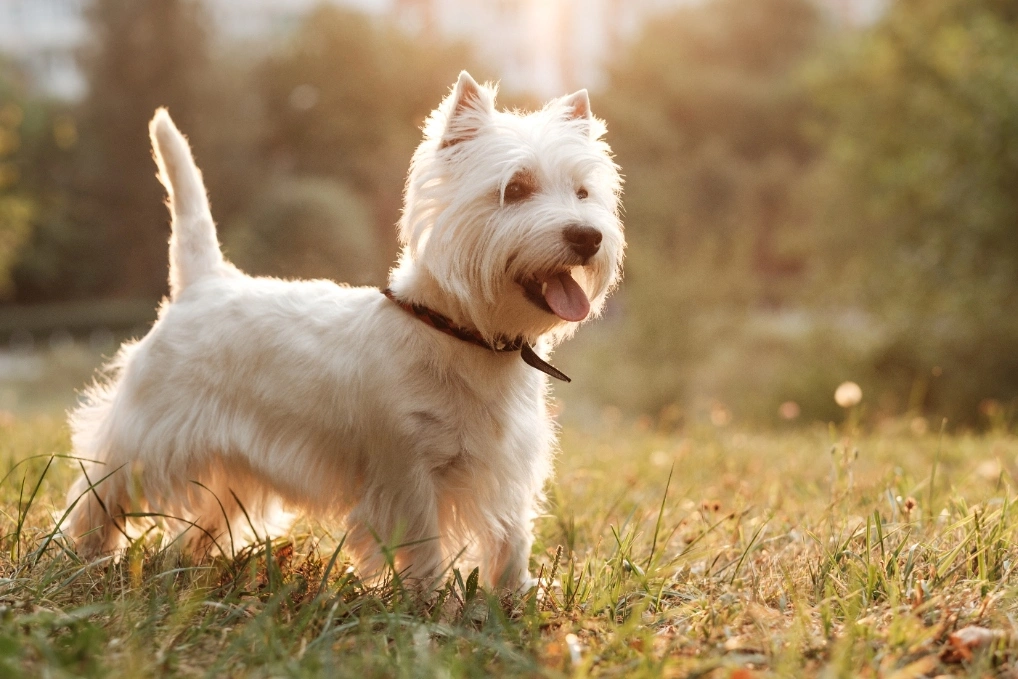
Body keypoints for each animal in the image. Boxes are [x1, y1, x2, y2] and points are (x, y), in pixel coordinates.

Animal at [65, 70, 618, 590]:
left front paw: (515, 598)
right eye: (516, 188)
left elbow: (511, 539)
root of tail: (203, 282)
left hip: (230, 459)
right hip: (148, 433)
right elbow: (424, 544)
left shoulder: (508, 466)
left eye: (583, 192)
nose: (587, 236)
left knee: (207, 513)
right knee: (102, 490)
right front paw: (429, 603)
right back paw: (85, 558)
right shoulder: (406, 470)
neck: (464, 333)